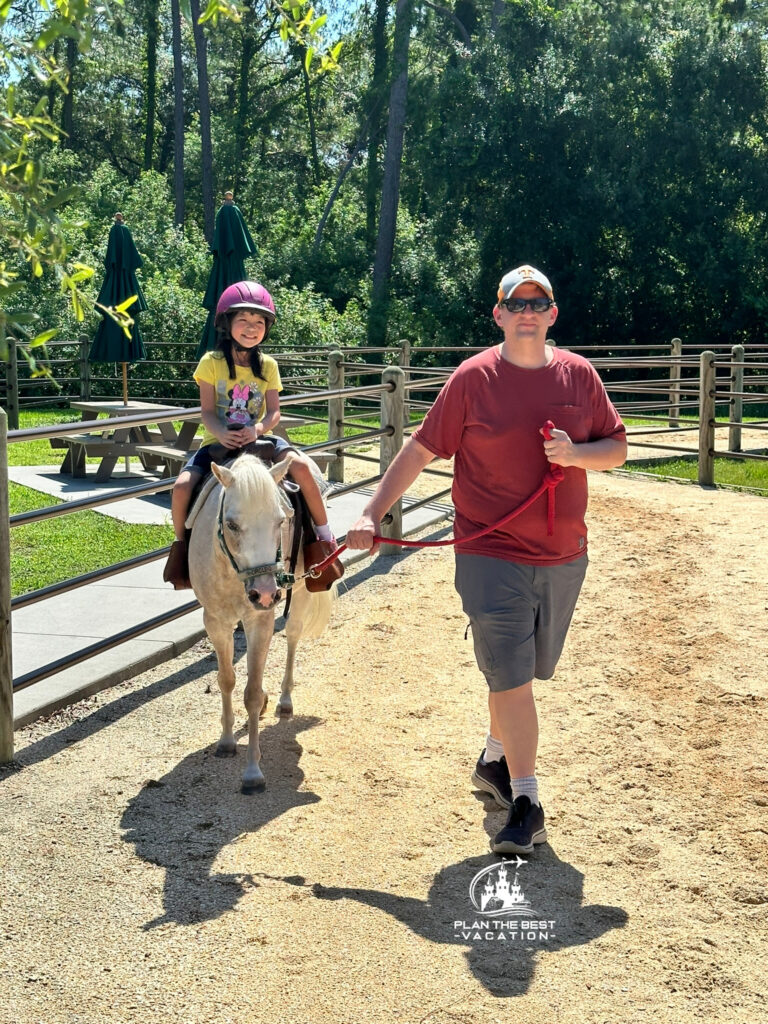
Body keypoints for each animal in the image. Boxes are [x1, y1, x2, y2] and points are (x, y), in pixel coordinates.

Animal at [188, 452, 335, 794]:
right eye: (231, 524)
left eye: (280, 521)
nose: (266, 593)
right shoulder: (216, 621)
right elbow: (226, 680)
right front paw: (226, 741)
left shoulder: (260, 620)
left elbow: (251, 694)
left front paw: (253, 772)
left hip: (299, 594)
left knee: (292, 636)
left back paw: (284, 700)